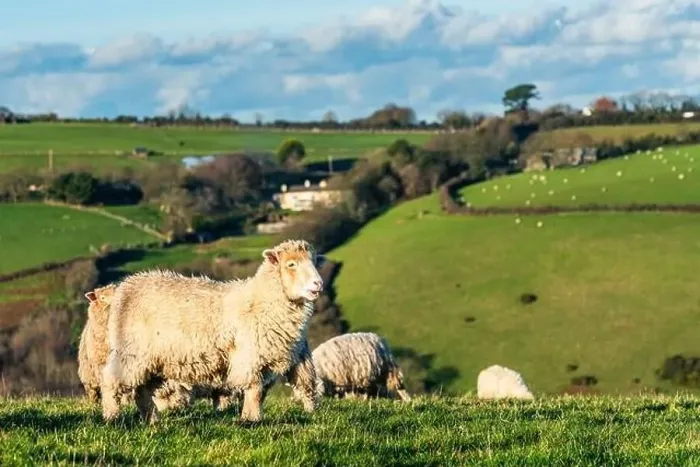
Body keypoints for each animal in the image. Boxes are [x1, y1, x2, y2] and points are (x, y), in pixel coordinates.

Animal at [100, 239, 324, 424]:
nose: (319, 284)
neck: (261, 300)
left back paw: (151, 420)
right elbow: (254, 389)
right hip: (131, 352)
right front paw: (251, 419)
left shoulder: (285, 357)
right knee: (111, 381)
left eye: (314, 261)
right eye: (291, 264)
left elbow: (289, 386)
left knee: (142, 391)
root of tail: (126, 286)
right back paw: (112, 417)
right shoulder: (249, 356)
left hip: (153, 359)